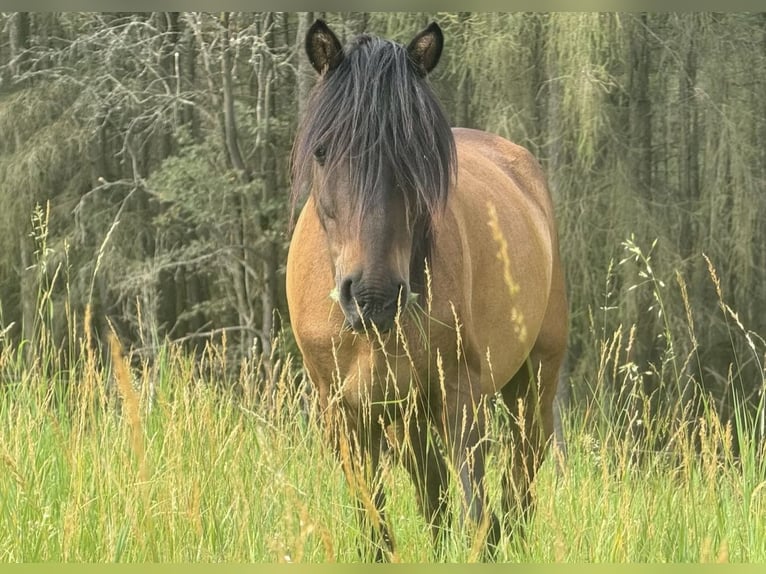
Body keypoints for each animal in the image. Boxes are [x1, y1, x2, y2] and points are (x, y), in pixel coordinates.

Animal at [284, 19, 568, 564]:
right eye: (323, 151)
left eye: (416, 156)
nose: (372, 297)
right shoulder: (345, 417)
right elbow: (375, 524)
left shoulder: (461, 400)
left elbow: (476, 514)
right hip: (407, 416)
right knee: (433, 488)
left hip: (533, 382)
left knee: (520, 478)